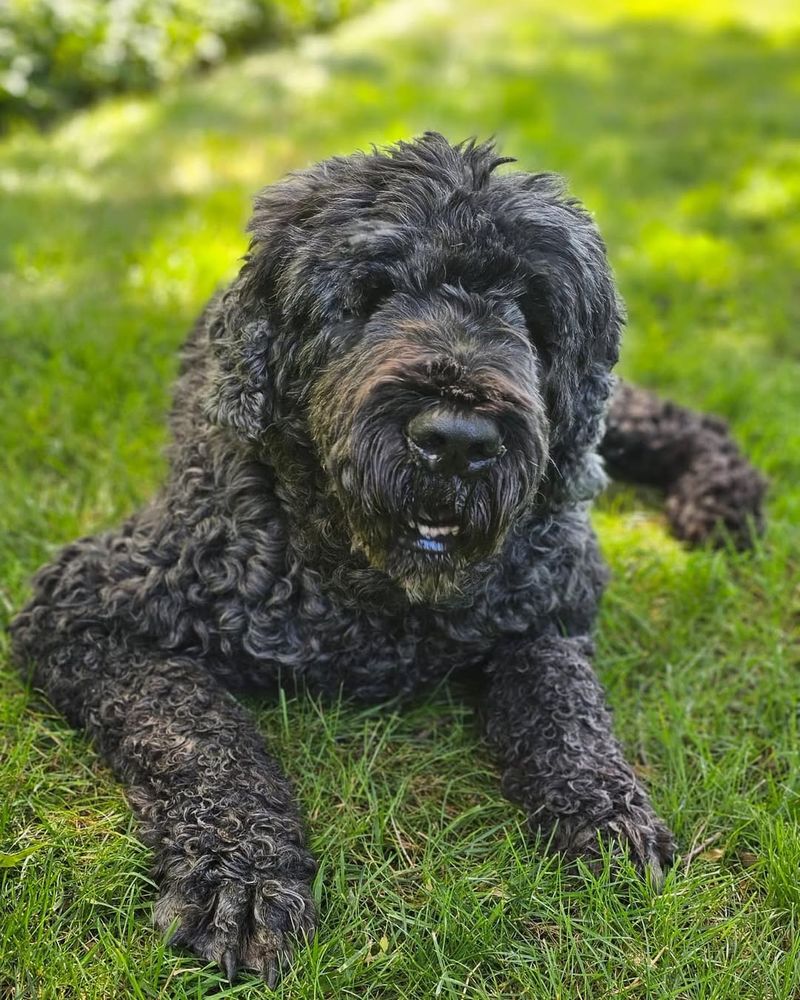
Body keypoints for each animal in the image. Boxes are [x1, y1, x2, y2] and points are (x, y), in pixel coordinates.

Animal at [9, 135, 764, 984]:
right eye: (372, 291)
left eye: (531, 311)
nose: (457, 441)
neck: (371, 592)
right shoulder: (88, 605)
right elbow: (195, 731)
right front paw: (244, 872)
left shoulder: (547, 603)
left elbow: (563, 704)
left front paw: (602, 805)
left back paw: (722, 490)